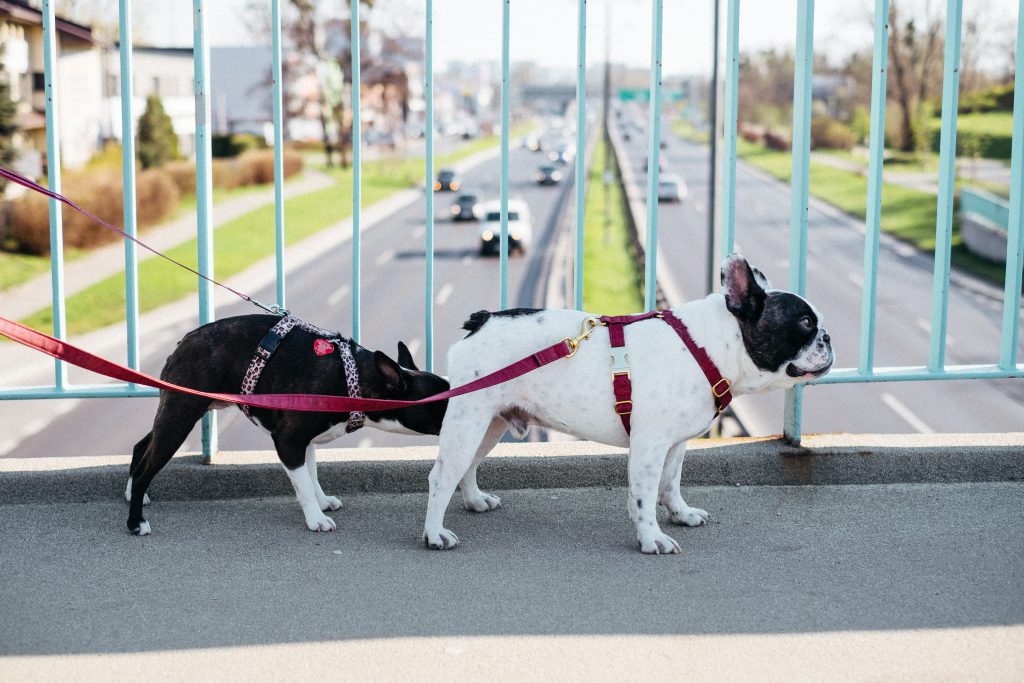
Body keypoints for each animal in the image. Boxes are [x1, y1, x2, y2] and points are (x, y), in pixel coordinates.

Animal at [128, 313, 448, 532]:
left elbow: (312, 475)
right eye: (442, 403)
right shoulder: (289, 441)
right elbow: (303, 483)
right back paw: (135, 522)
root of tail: (183, 341)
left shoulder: (306, 442)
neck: (354, 379)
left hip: (178, 409)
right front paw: (316, 518)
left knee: (141, 446)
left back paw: (133, 494)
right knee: (147, 467)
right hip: (180, 416)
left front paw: (321, 501)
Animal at [421, 253, 831, 552]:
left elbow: (670, 484)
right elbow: (644, 497)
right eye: (805, 323)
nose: (828, 337)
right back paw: (434, 534)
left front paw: (681, 514)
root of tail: (481, 321)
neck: (710, 346)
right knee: (442, 475)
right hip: (469, 421)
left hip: (489, 424)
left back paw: (475, 501)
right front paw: (652, 539)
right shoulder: (649, 446)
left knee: (466, 467)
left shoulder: (675, 445)